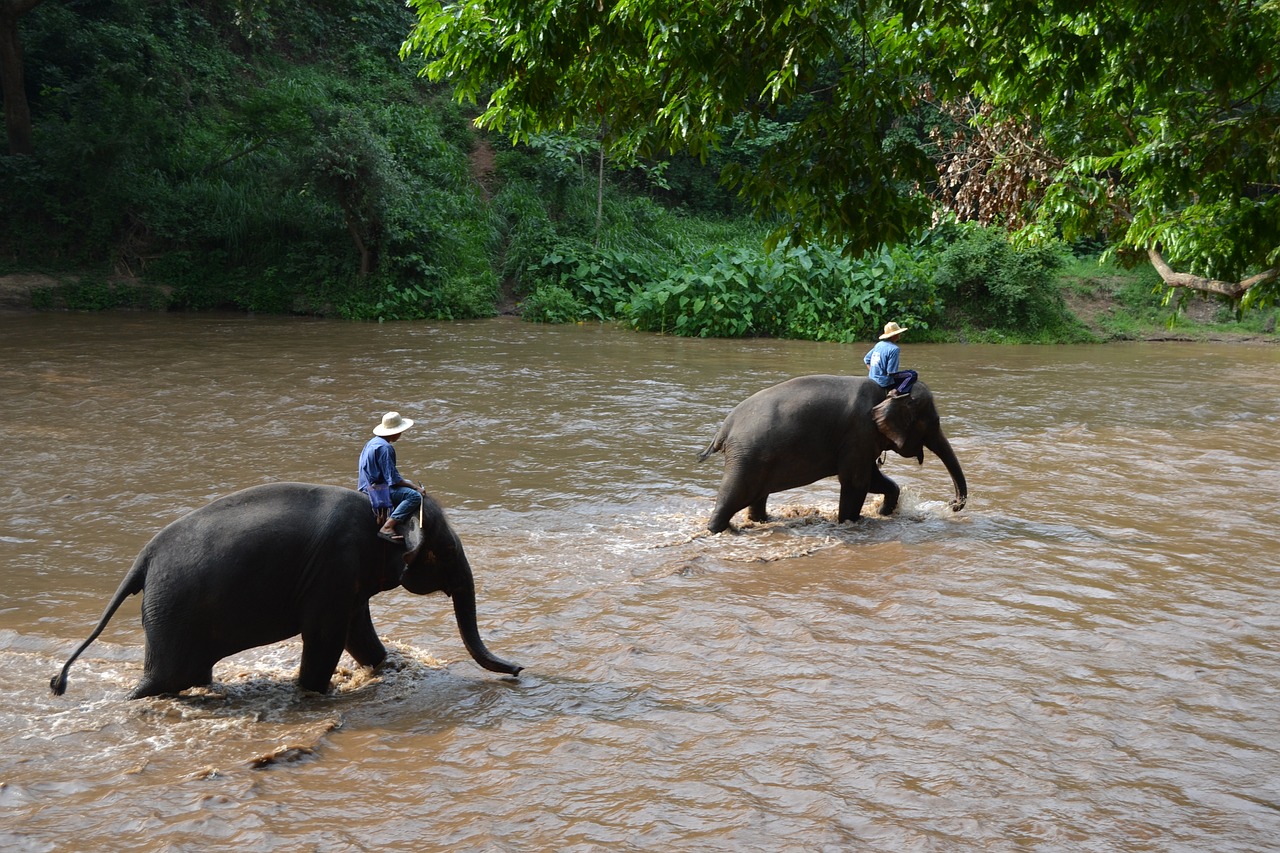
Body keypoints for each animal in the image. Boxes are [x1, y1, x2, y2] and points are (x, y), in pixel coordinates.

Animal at [49, 481, 519, 696]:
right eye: (446, 550)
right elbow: (326, 638)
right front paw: (314, 692)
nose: (518, 670)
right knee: (165, 678)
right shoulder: (333, 569)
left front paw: (384, 667)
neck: (380, 512)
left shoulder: (346, 579)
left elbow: (358, 634)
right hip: (172, 610)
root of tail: (142, 559)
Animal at [701, 373, 967, 532]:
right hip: (746, 457)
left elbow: (873, 479)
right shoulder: (859, 433)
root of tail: (724, 428)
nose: (953, 503)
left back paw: (761, 522)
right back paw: (718, 531)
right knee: (734, 494)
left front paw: (882, 513)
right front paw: (851, 522)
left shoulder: (862, 441)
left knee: (757, 494)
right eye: (932, 422)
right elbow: (856, 482)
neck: (888, 391)